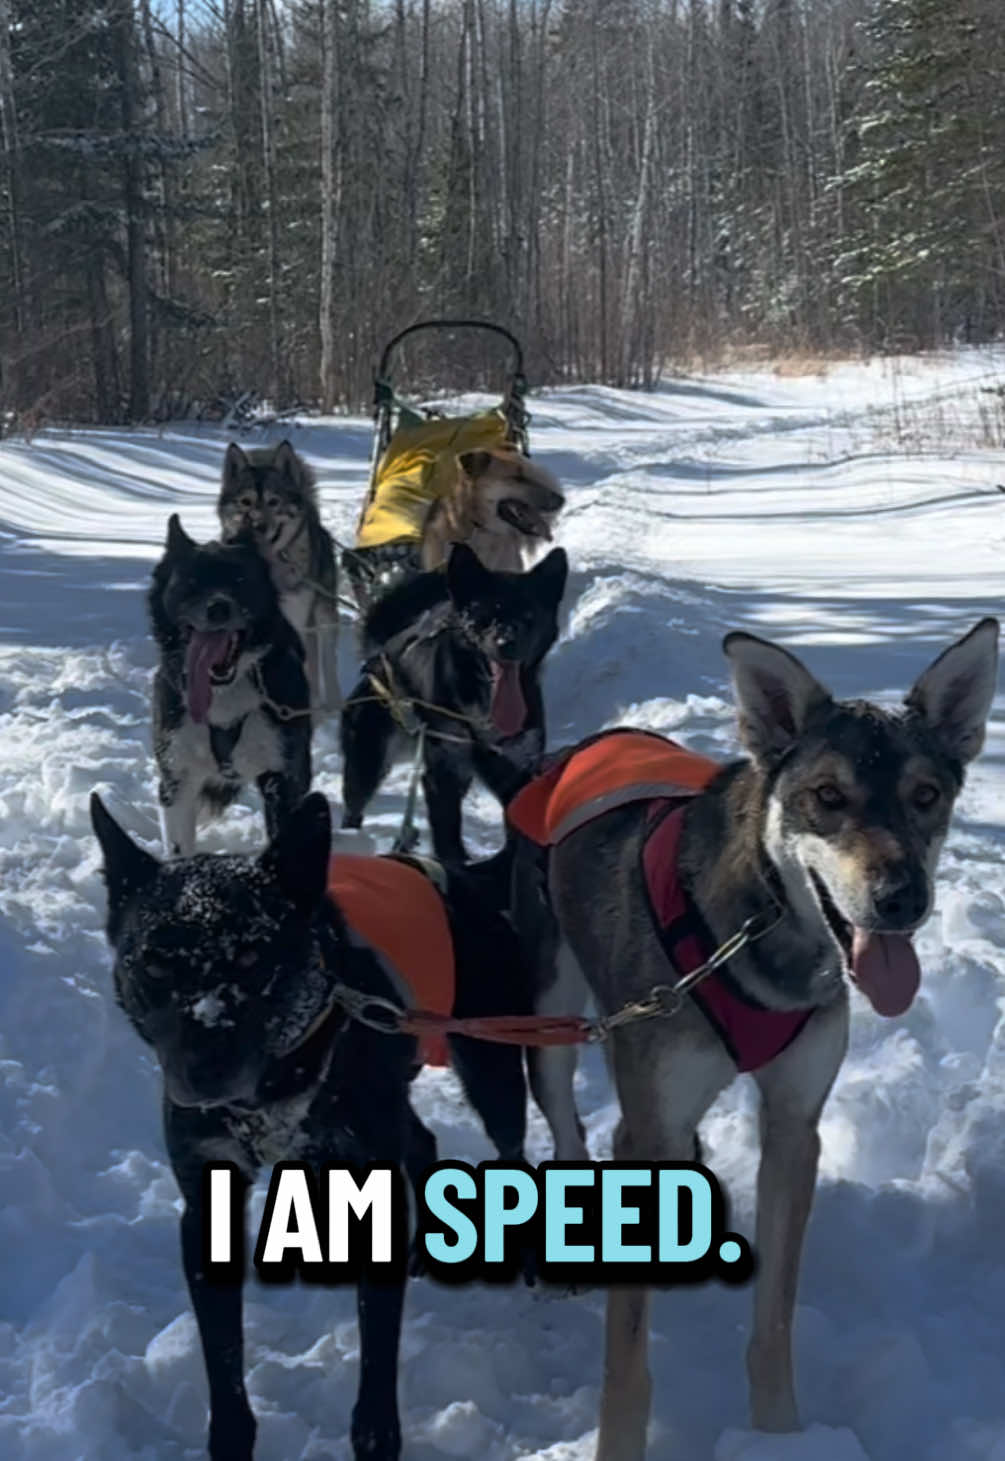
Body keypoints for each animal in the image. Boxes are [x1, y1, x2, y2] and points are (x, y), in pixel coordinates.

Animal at [90, 790, 533, 1461]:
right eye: (156, 966)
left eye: (252, 955)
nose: (202, 1073)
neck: (272, 1091)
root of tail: (460, 875)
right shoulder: (204, 1203)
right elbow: (224, 1364)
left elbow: (376, 1365)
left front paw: (375, 1438)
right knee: (422, 1139)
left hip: (491, 1066)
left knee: (510, 1147)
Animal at [150, 515, 311, 856]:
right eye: (191, 582)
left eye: (240, 580)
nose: (218, 607)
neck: (223, 694)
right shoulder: (176, 779)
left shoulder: (281, 779)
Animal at [219, 440, 341, 715]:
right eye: (245, 502)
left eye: (273, 502)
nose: (259, 525)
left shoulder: (299, 624)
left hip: (324, 616)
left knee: (327, 659)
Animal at [341, 543, 568, 863]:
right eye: (484, 615)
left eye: (529, 614)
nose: (506, 643)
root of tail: (381, 653)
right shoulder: (442, 771)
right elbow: (447, 837)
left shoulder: (519, 764)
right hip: (367, 763)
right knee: (354, 807)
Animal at [509, 618, 999, 1459]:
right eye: (827, 796)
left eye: (925, 796)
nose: (901, 898)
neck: (763, 937)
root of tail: (579, 747)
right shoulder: (647, 1123)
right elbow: (626, 1361)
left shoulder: (794, 1125)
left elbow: (772, 1321)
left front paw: (778, 1434)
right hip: (552, 1025)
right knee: (569, 1128)